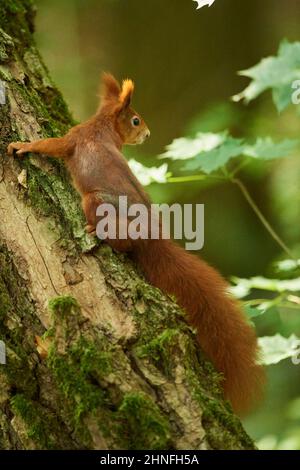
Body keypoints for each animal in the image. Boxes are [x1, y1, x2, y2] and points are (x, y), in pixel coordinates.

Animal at [7, 71, 264, 414]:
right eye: (136, 120)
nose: (147, 133)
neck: (101, 127)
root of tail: (153, 240)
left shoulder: (74, 138)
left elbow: (51, 144)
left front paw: (22, 145)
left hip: (96, 201)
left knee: (119, 240)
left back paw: (95, 232)